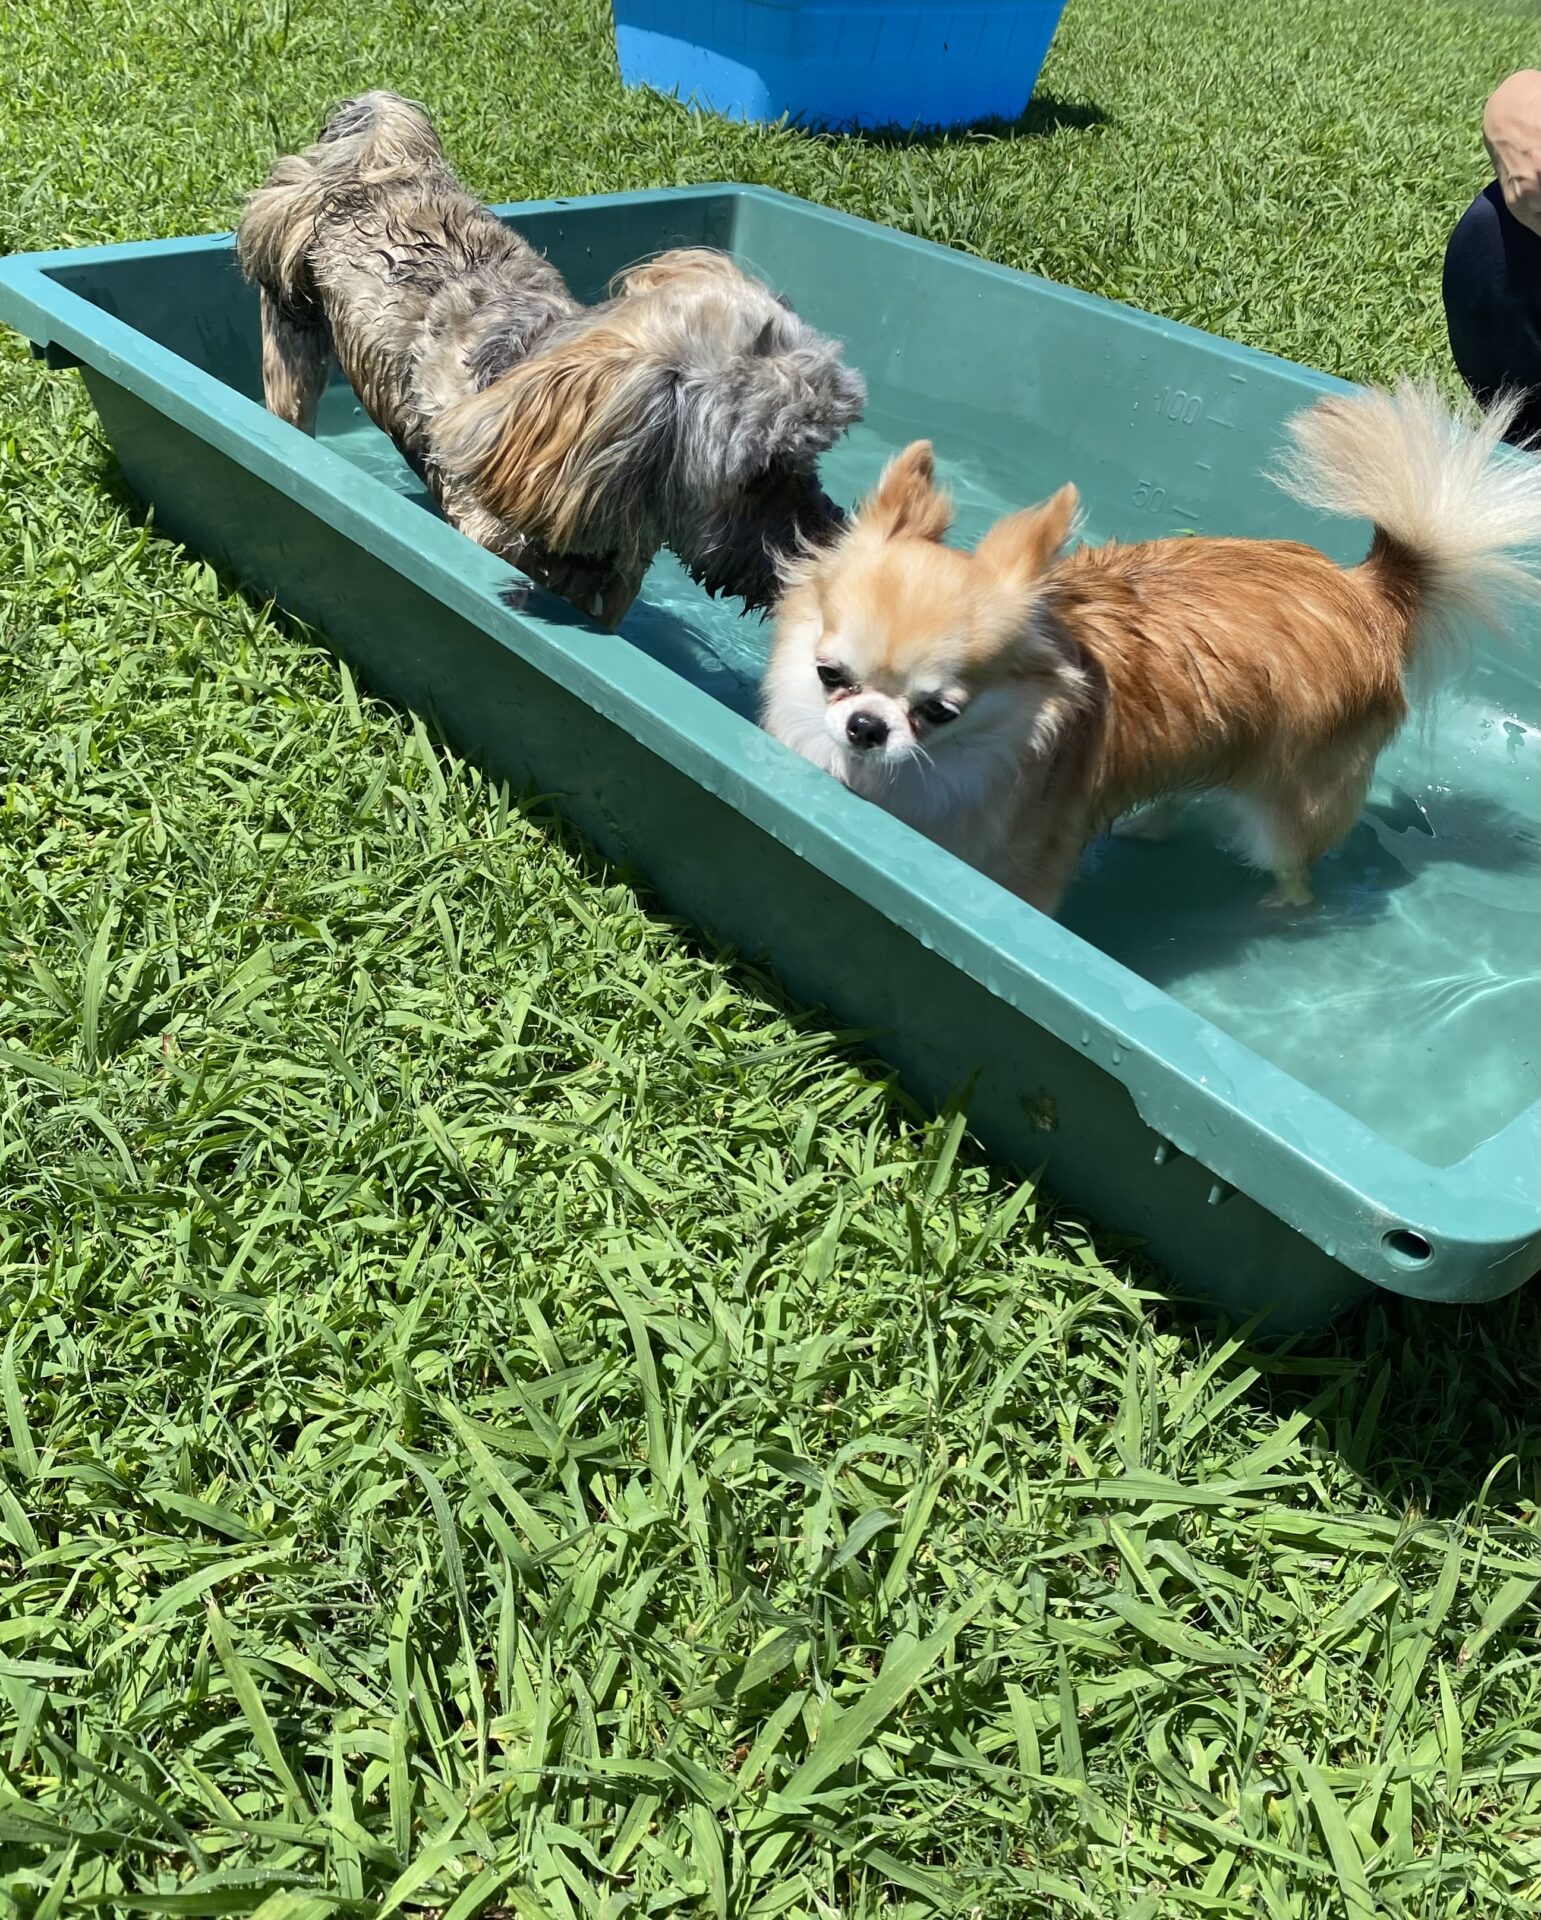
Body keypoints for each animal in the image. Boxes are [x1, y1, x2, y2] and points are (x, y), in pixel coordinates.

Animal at [763, 381, 1541, 913]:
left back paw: (1276, 907)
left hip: (1295, 804)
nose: (866, 726)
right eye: (828, 673)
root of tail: (1367, 590)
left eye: (940, 712)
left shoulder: (1016, 868)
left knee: (1293, 865)